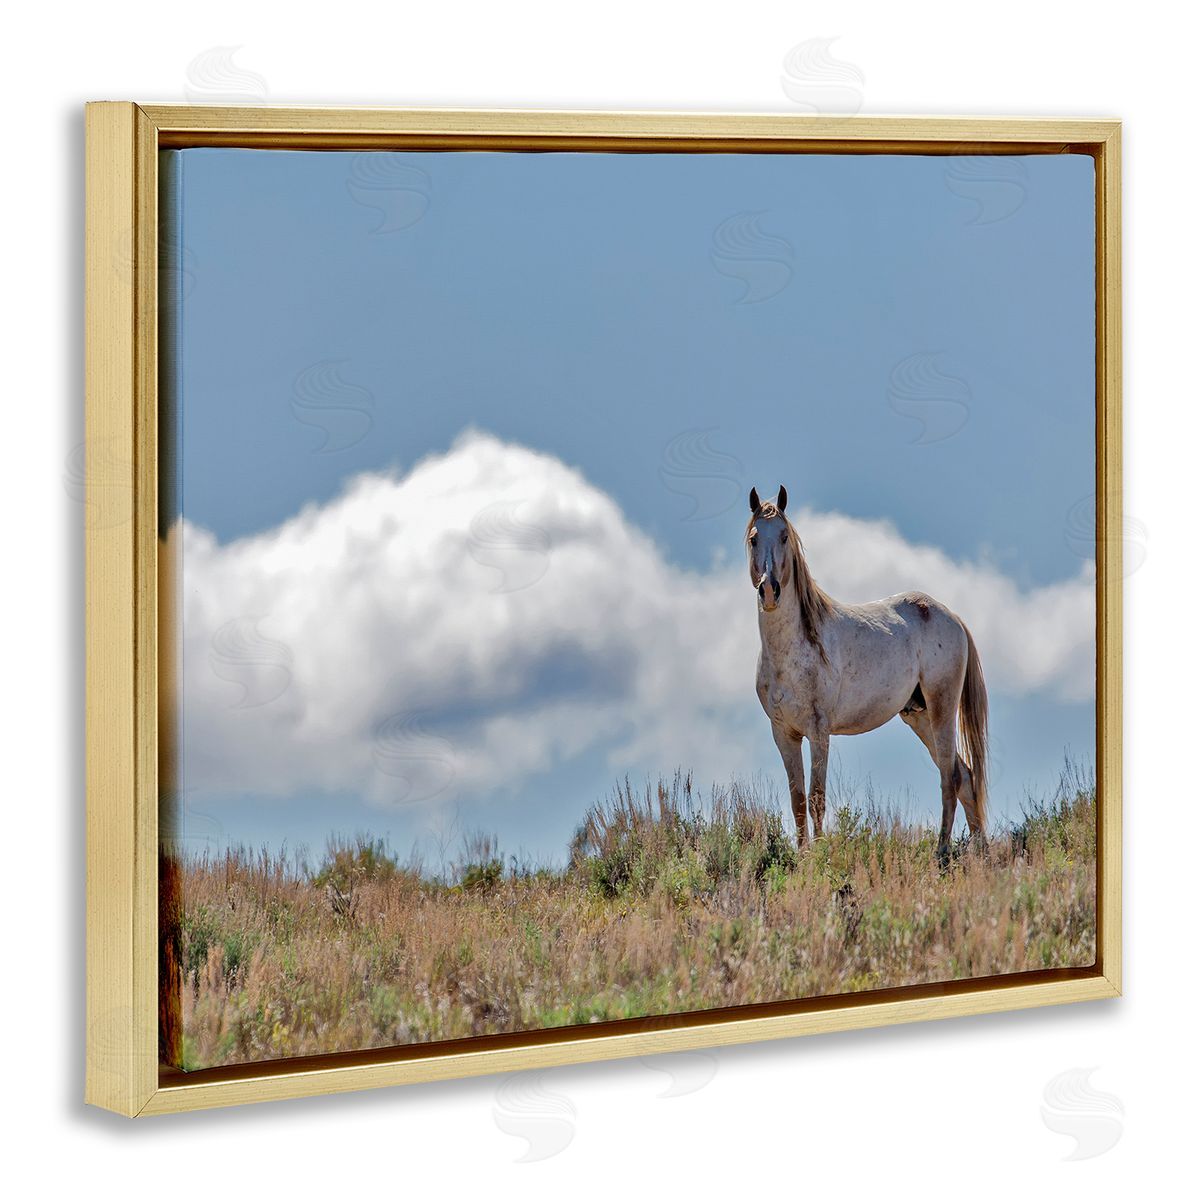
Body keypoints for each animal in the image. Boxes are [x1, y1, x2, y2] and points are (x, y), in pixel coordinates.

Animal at [745, 486, 989, 866]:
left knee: (950, 777)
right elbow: (797, 800)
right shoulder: (784, 733)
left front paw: (819, 855)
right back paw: (980, 853)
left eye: (784, 536)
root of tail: (951, 617)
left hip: (942, 710)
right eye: (754, 538)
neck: (791, 651)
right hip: (918, 716)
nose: (769, 591)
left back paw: (942, 852)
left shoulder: (818, 732)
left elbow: (816, 797)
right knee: (964, 776)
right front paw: (802, 857)